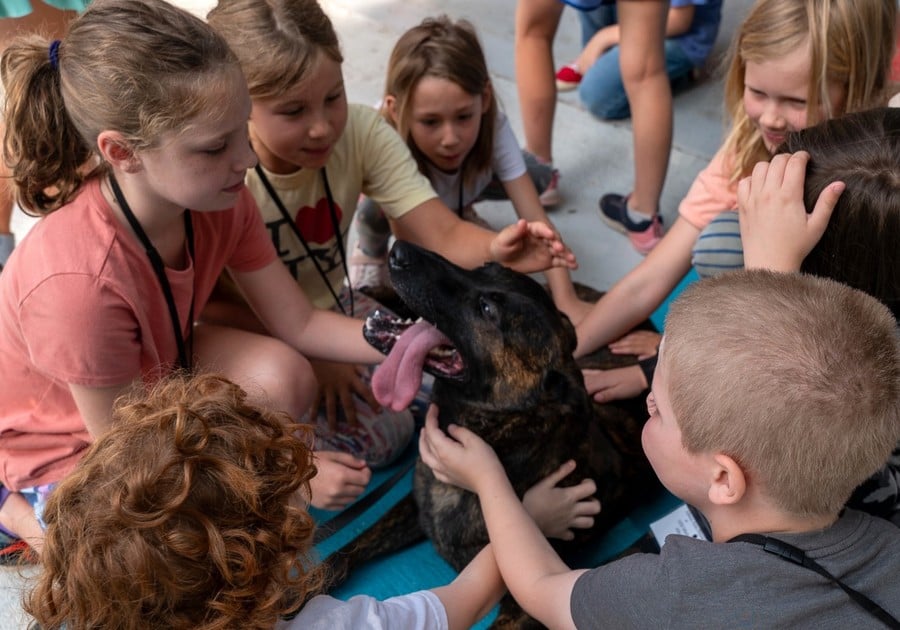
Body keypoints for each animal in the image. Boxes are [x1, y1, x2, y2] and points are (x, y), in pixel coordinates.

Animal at [324, 241, 660, 628]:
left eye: (487, 309)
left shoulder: (524, 600)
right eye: (483, 266)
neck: (497, 441)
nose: (399, 249)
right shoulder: (411, 507)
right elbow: (347, 549)